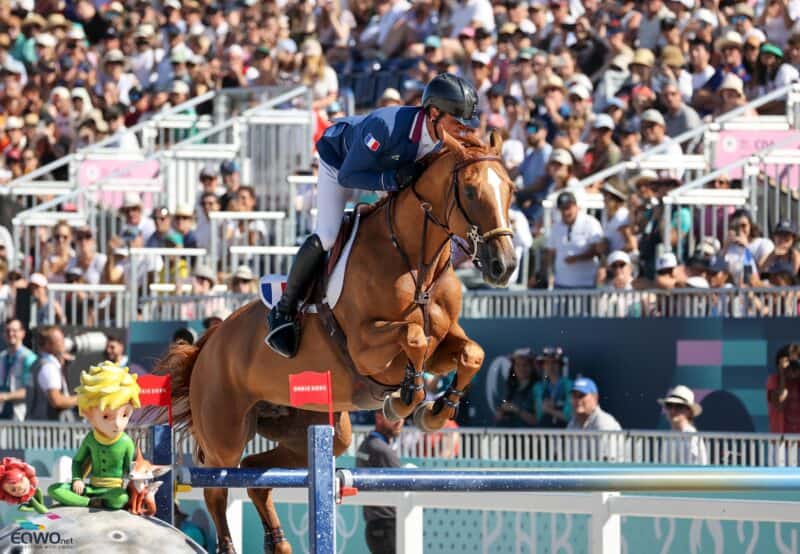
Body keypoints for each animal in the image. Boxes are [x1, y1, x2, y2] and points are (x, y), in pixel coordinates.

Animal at [155, 130, 520, 552]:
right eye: (472, 191)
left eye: (510, 189)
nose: (505, 266)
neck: (415, 259)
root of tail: (207, 345)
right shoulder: (366, 347)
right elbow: (411, 336)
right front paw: (404, 400)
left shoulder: (442, 343)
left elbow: (470, 353)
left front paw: (436, 411)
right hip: (225, 432)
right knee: (217, 487)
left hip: (313, 427)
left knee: (255, 475)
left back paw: (280, 543)